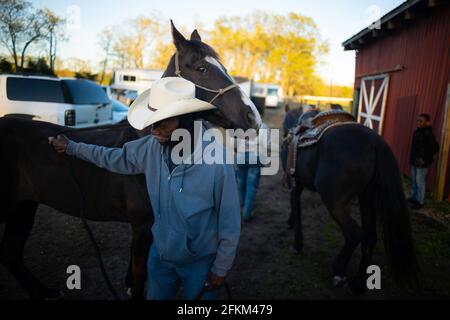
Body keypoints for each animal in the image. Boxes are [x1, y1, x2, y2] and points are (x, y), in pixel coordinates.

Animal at [284, 109, 416, 292]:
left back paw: (339, 270)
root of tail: (374, 141)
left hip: (334, 201)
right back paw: (357, 284)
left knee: (354, 234)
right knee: (370, 237)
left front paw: (297, 244)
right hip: (367, 198)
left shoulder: (295, 185)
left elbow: (296, 211)